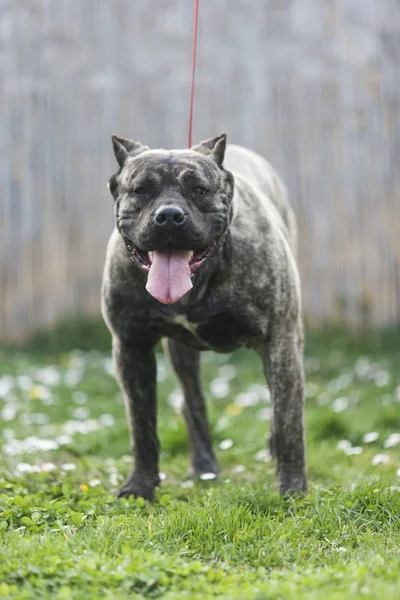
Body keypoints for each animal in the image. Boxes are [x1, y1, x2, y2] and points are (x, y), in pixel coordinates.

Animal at [101, 135, 306, 502]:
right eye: (141, 191)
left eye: (198, 190)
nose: (169, 215)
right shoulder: (130, 346)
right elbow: (142, 425)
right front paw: (140, 486)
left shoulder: (280, 339)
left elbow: (288, 421)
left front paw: (292, 489)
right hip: (182, 355)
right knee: (192, 402)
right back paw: (205, 466)